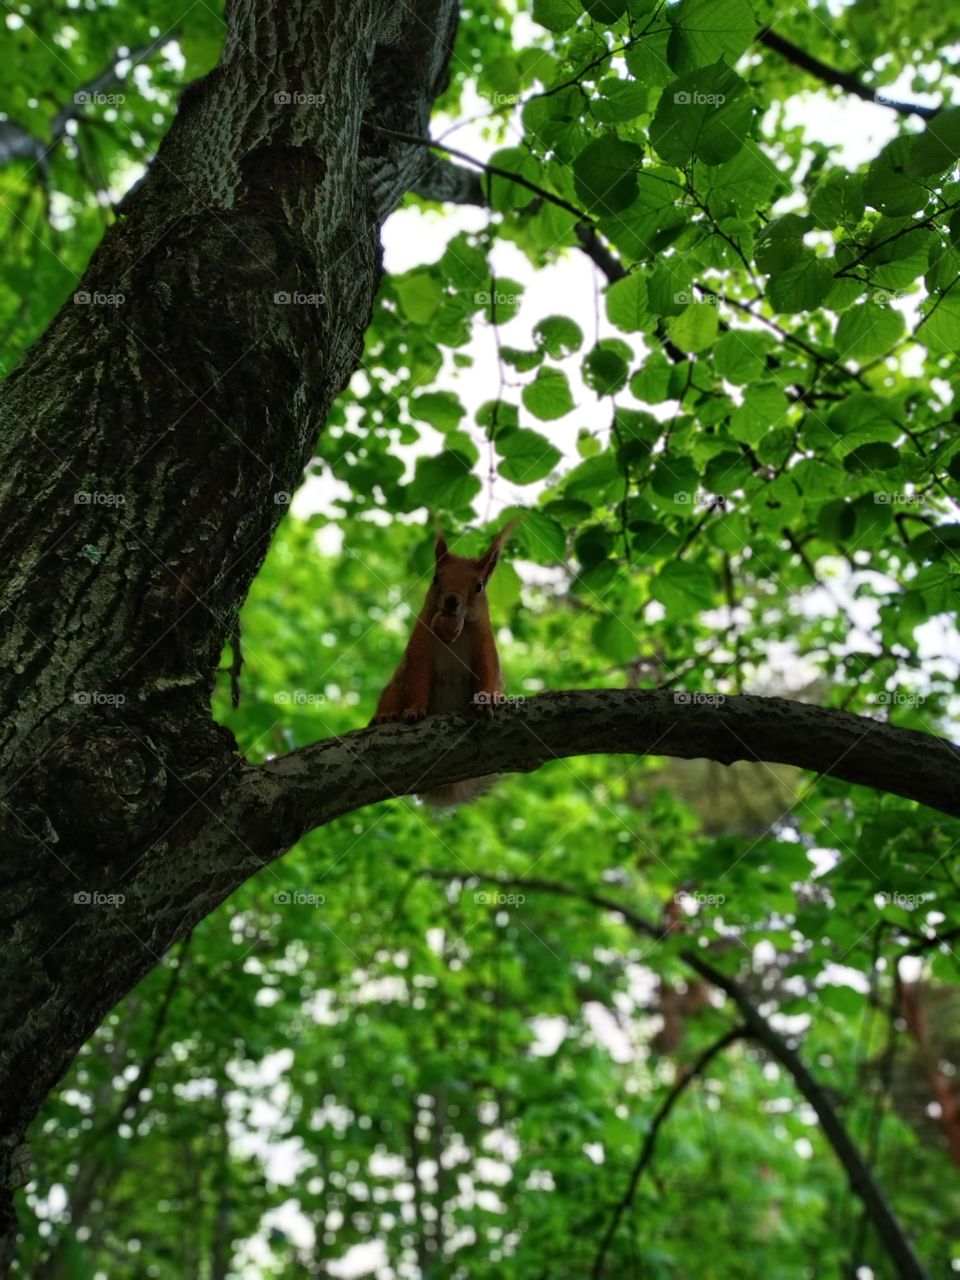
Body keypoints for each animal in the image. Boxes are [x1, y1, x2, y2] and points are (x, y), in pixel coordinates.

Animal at [371, 521, 517, 807]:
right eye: (436, 578)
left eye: (479, 586)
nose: (451, 600)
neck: (455, 634)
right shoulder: (420, 646)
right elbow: (418, 678)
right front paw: (414, 710)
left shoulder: (485, 648)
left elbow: (486, 673)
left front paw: (487, 701)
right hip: (393, 688)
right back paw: (387, 716)